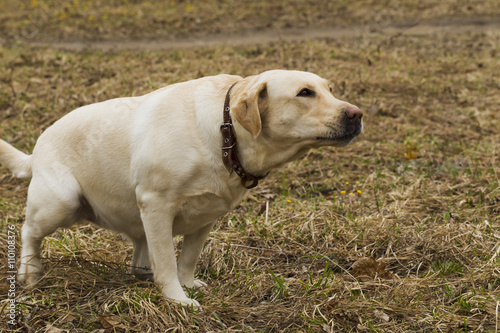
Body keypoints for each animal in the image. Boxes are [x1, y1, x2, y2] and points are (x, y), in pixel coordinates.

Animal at [0, 70, 362, 306]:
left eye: (330, 89)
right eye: (305, 93)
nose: (357, 114)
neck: (225, 133)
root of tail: (37, 148)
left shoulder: (207, 215)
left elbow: (187, 258)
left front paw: (188, 285)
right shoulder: (156, 204)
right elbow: (167, 261)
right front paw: (178, 299)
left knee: (139, 256)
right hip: (61, 202)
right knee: (28, 231)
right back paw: (29, 273)